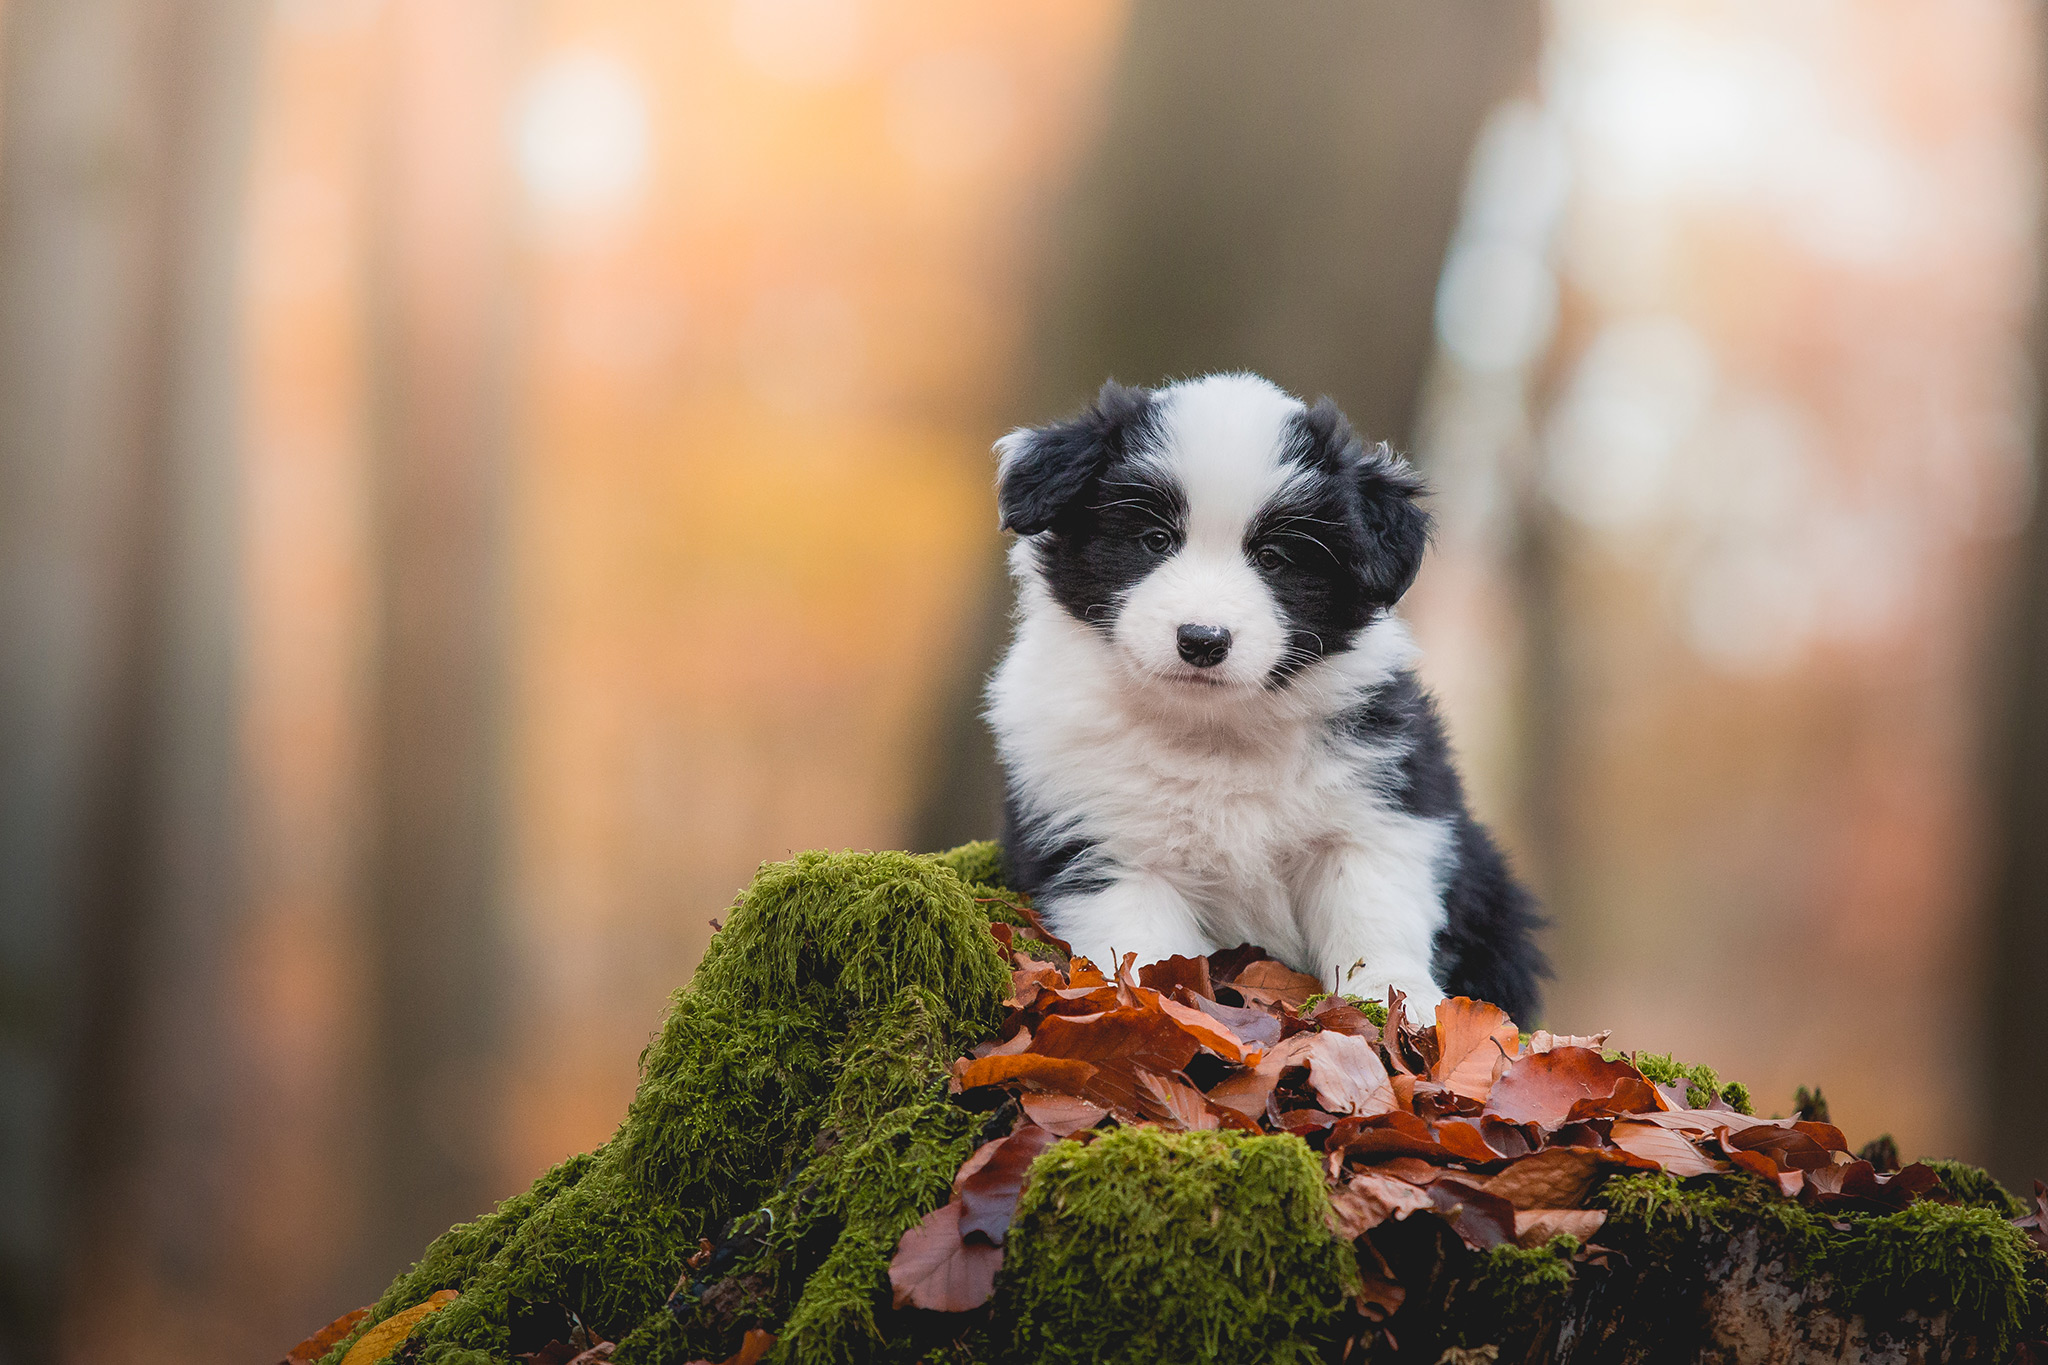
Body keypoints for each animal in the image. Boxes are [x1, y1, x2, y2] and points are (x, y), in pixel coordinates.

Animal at [983, 368, 1540, 1019]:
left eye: (1273, 558)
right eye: (1154, 539)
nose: (1202, 640)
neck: (1215, 732)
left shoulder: (1379, 812)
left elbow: (1373, 911)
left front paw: (1402, 1004)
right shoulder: (1101, 838)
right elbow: (1141, 949)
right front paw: (1155, 1012)